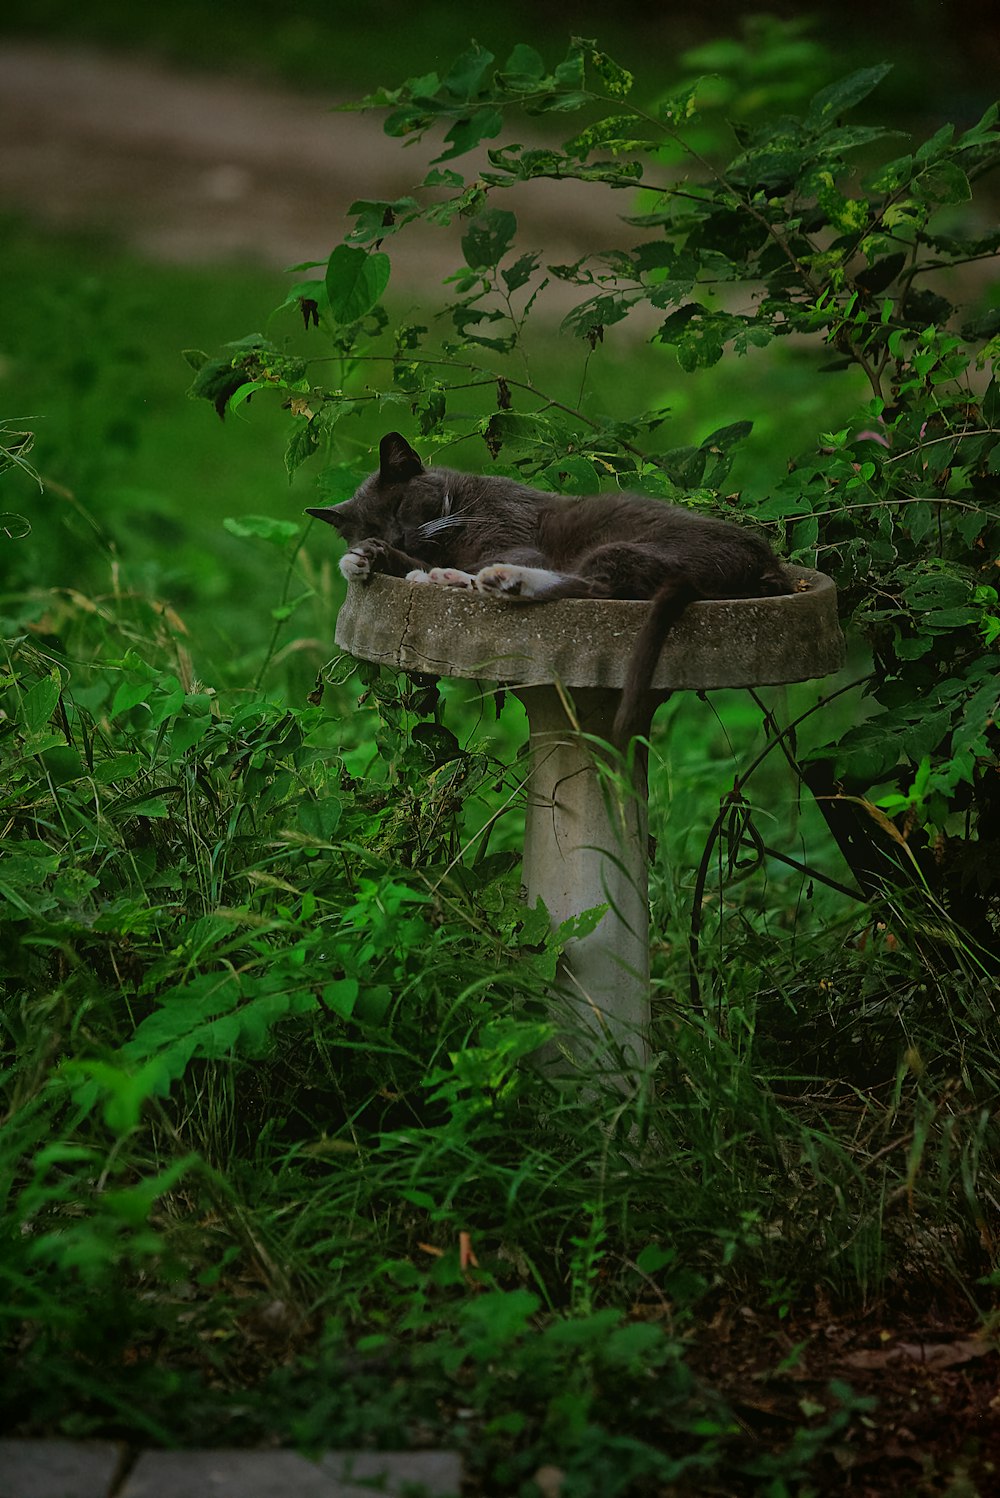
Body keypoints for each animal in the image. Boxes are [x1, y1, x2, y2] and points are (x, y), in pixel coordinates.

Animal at [308, 431, 790, 746]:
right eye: (369, 527)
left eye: (400, 506)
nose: (396, 538)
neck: (457, 507)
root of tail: (765, 567)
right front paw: (363, 559)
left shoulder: (513, 535)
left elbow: (463, 558)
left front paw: (410, 566)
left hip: (628, 548)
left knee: (599, 586)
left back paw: (491, 579)